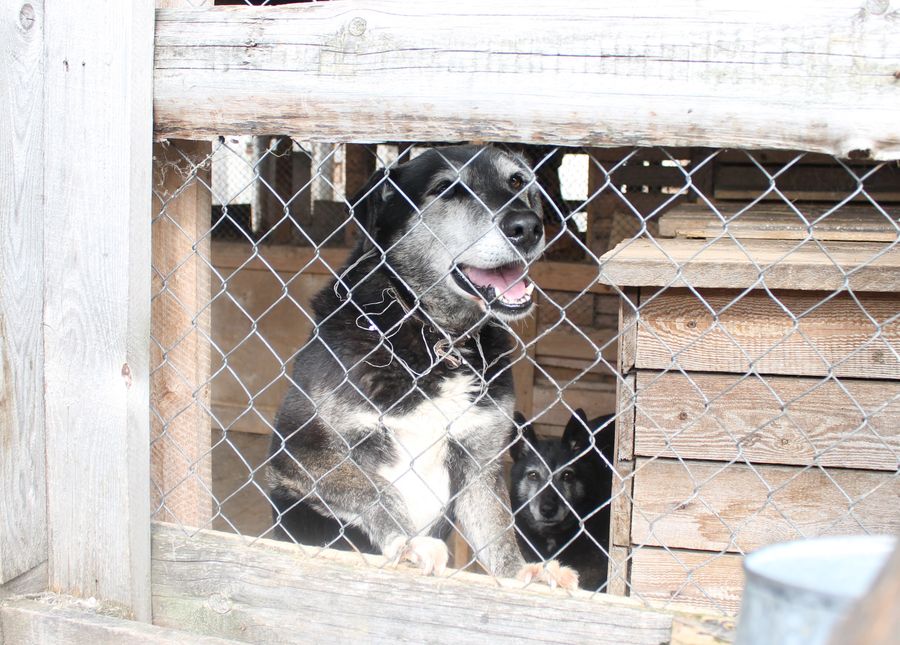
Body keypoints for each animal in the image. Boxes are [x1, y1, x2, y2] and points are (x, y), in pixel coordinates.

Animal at [268, 146, 576, 588]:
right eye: (446, 189)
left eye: (517, 181)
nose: (528, 227)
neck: (438, 338)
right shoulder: (298, 452)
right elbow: (375, 489)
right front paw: (409, 543)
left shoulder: (480, 462)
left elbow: (498, 532)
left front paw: (522, 575)